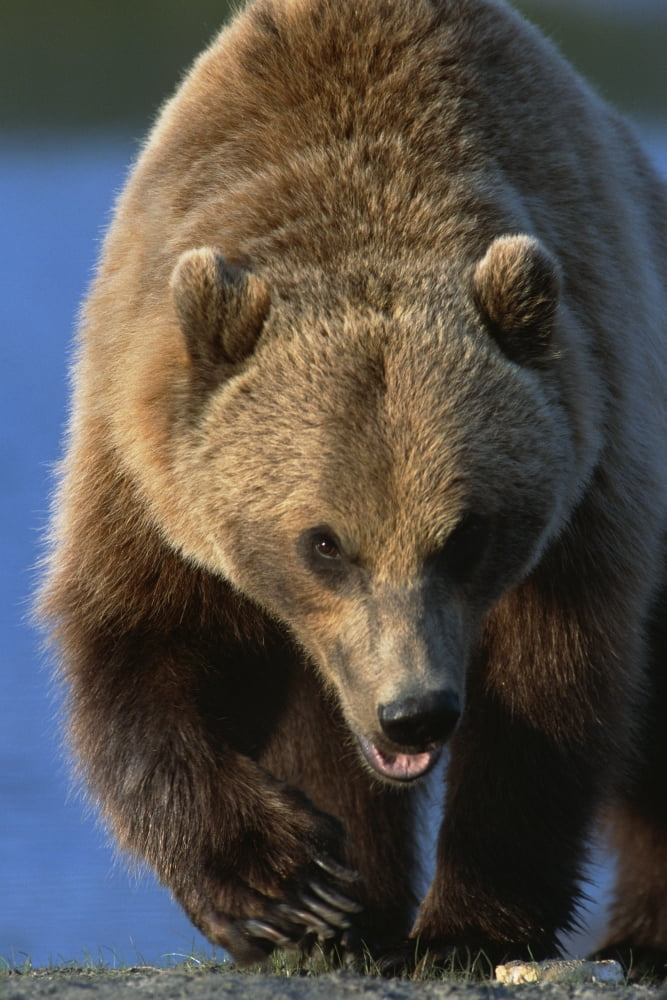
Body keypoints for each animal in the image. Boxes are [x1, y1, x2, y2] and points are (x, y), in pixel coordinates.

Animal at [39, 0, 667, 977]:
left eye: (465, 534)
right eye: (323, 542)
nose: (414, 714)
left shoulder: (590, 470)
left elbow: (548, 697)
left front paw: (467, 924)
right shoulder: (143, 458)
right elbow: (135, 651)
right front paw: (287, 886)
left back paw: (638, 934)